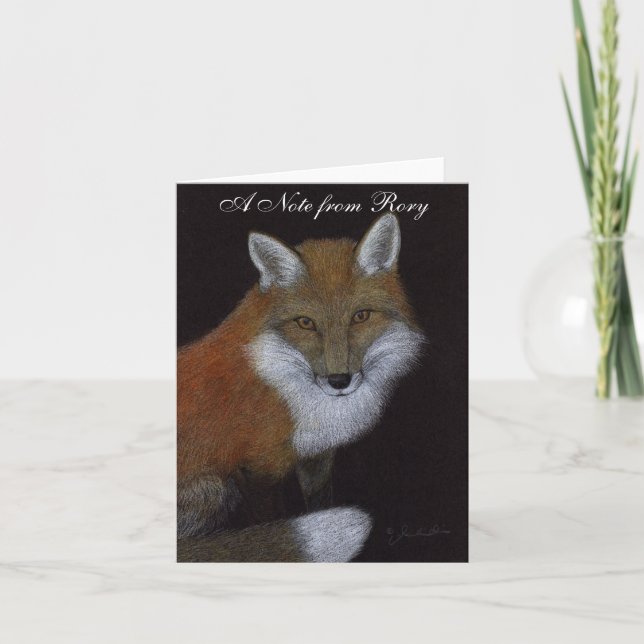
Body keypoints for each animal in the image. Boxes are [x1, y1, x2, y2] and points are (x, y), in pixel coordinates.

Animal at [177, 213, 425, 562]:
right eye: (306, 323)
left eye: (360, 316)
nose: (339, 381)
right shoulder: (257, 469)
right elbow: (269, 520)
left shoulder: (316, 454)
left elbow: (319, 501)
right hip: (215, 487)